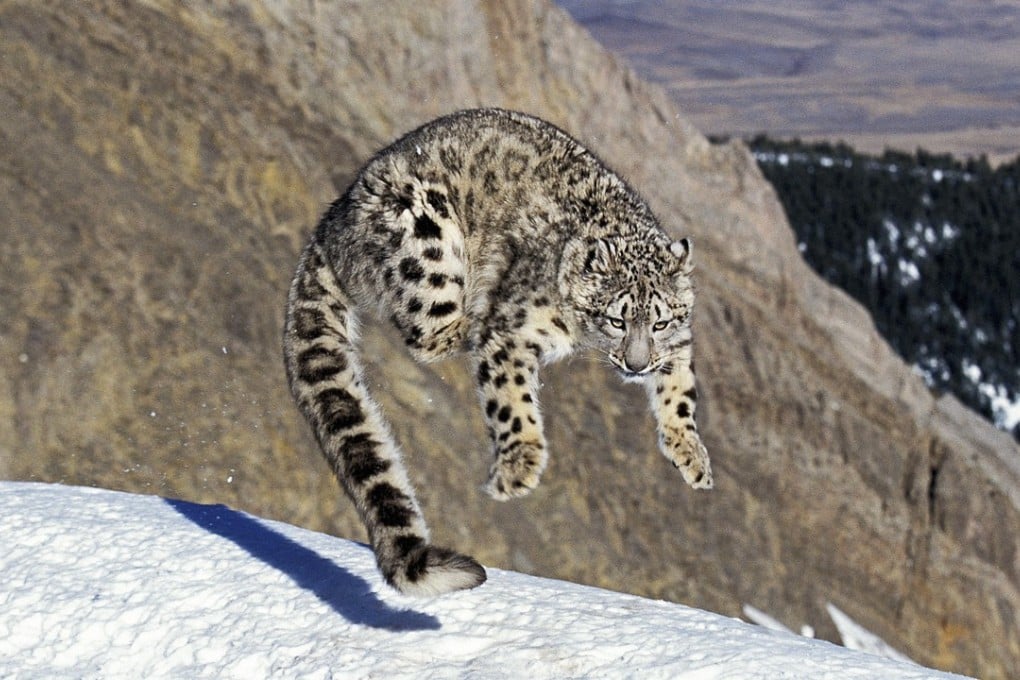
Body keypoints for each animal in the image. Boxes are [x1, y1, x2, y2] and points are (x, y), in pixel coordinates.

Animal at [283, 108, 712, 597]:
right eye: (616, 320)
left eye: (659, 322)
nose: (637, 365)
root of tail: (335, 217)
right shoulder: (514, 331)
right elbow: (512, 400)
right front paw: (518, 469)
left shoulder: (678, 344)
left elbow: (680, 392)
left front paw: (692, 456)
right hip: (426, 241)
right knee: (429, 333)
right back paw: (473, 317)